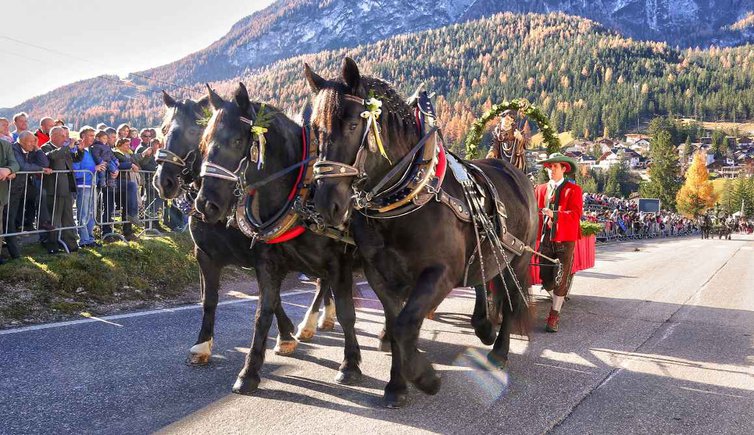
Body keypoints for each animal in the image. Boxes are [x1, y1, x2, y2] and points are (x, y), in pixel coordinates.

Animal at [154, 92, 336, 368]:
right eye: (164, 129)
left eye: (194, 130)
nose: (163, 182)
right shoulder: (205, 255)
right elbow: (209, 299)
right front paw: (202, 344)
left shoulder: (263, 256)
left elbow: (273, 299)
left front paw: (286, 335)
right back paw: (327, 316)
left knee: (324, 281)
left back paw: (310, 323)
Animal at [191, 84, 362, 396]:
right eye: (203, 143)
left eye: (236, 140)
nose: (205, 204)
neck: (299, 195)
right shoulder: (265, 263)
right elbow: (262, 313)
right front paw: (249, 371)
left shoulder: (340, 263)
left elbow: (348, 313)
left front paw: (351, 364)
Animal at [304, 58, 536, 408]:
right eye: (316, 129)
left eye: (352, 125)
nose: (325, 203)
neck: (405, 197)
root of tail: (516, 172)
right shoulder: (380, 275)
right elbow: (395, 323)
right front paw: (397, 385)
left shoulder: (441, 273)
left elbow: (404, 326)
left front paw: (425, 377)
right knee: (483, 280)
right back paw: (483, 326)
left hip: (518, 260)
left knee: (509, 301)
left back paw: (499, 351)